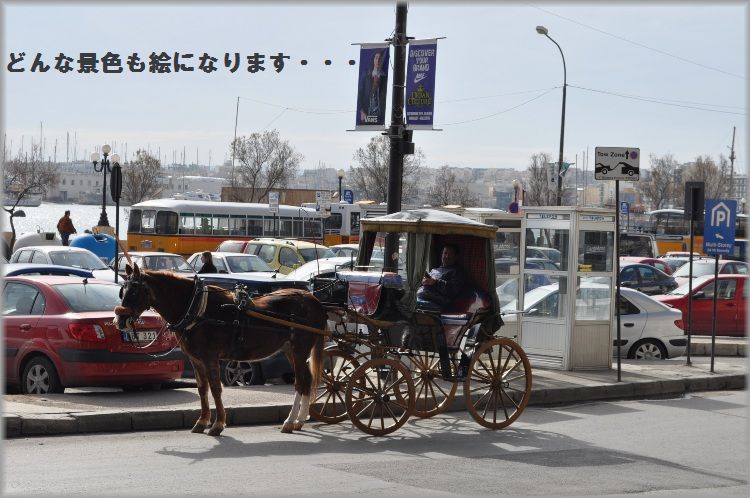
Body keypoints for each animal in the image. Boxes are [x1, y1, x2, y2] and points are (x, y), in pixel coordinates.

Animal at [115, 264, 328, 436]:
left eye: (134, 291)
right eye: (122, 291)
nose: (120, 320)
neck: (197, 309)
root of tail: (312, 298)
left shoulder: (210, 357)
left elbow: (216, 388)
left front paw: (218, 424)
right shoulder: (195, 359)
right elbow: (202, 388)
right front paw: (202, 421)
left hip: (299, 350)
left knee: (300, 382)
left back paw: (290, 421)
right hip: (290, 351)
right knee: (307, 380)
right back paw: (299, 420)